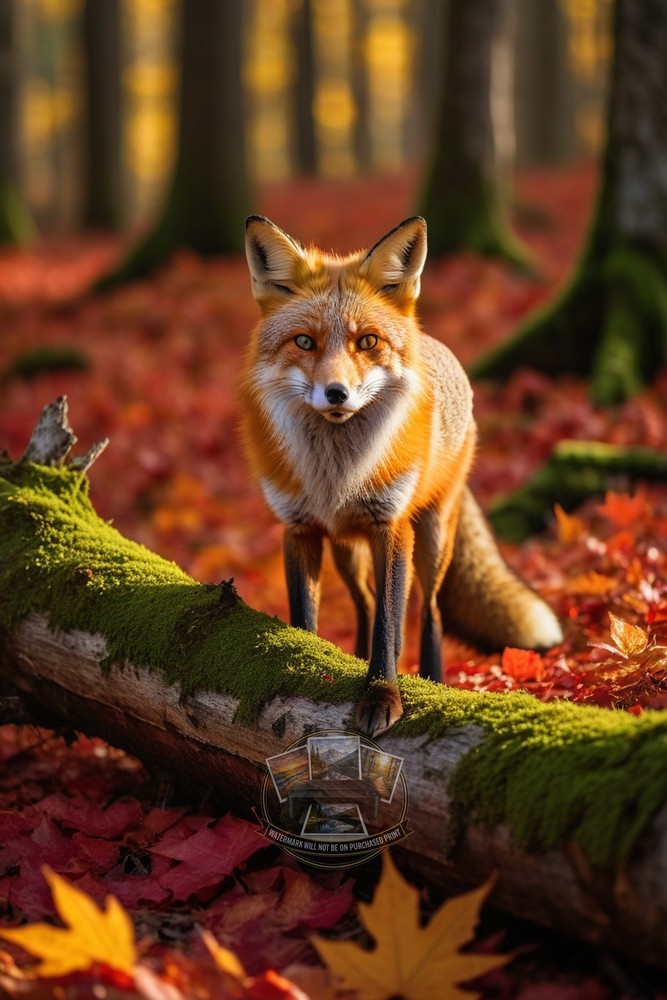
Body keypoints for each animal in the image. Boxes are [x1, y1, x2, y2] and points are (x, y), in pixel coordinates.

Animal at [240, 215, 563, 736]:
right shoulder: (299, 528)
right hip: (348, 551)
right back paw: (352, 657)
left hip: (430, 538)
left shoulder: (391, 527)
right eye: (304, 341)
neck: (337, 474)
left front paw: (382, 696)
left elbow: (391, 630)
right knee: (366, 603)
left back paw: (432, 681)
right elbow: (307, 616)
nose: (336, 393)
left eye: (367, 341)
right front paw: (304, 668)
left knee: (428, 612)